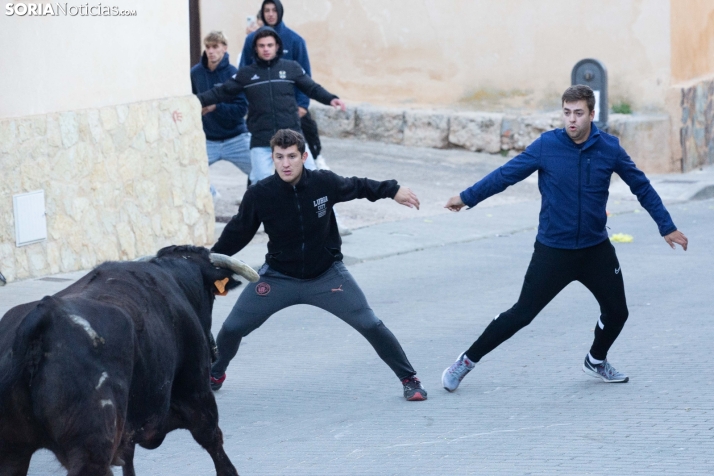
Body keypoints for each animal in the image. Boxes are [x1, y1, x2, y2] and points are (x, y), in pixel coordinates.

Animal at [0, 245, 258, 476]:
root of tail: (42, 316)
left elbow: (128, 462)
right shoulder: (197, 395)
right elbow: (216, 446)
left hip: (13, 450)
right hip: (91, 450)